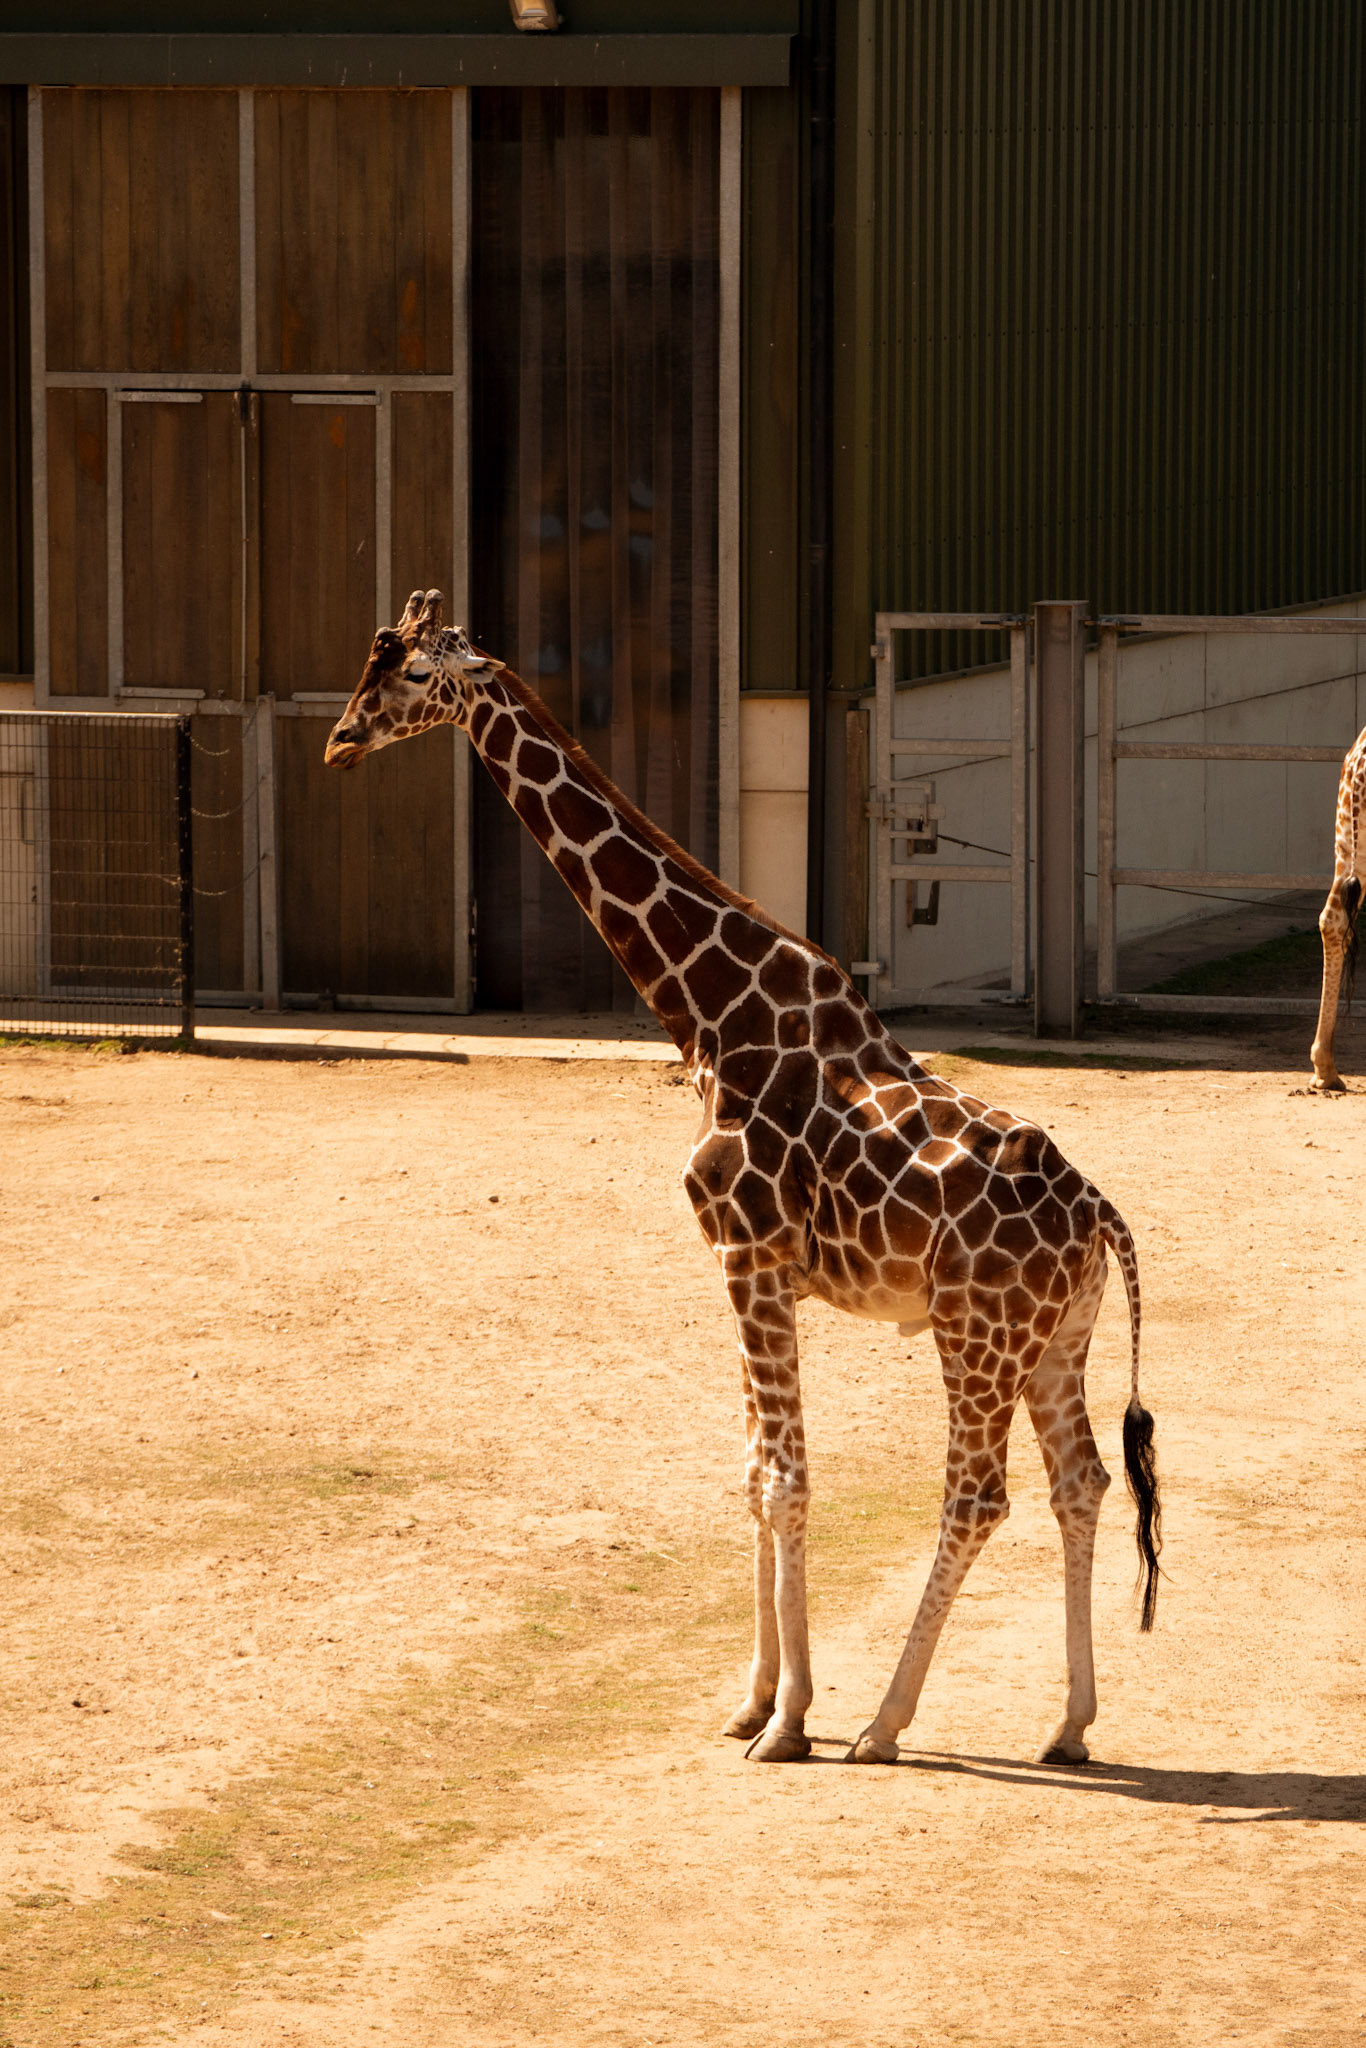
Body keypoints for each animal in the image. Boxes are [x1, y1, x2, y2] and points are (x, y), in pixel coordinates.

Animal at [325, 591, 1162, 1767]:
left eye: (405, 676)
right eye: (369, 662)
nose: (339, 741)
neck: (711, 1011)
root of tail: (1102, 1217)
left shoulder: (748, 1258)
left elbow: (786, 1481)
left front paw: (793, 1718)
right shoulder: (750, 1271)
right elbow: (755, 1475)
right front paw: (755, 1700)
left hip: (976, 1332)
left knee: (976, 1497)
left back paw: (883, 1724)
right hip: (1057, 1336)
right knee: (1079, 1483)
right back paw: (1070, 1724)